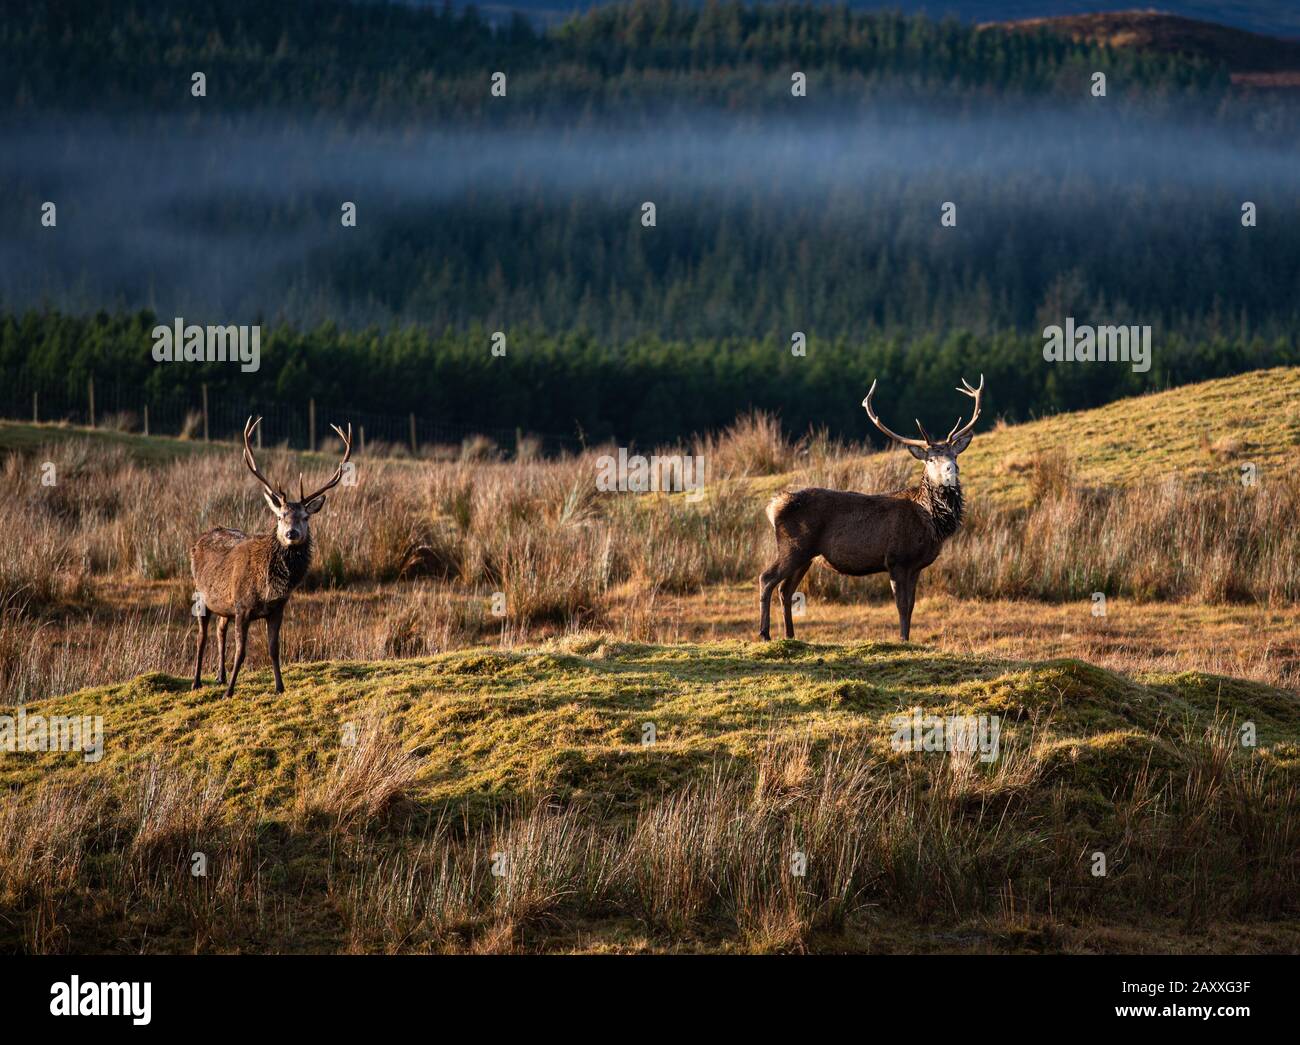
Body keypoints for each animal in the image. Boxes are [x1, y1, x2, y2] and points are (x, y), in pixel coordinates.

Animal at [190, 416, 352, 698]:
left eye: (305, 517)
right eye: (280, 516)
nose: (291, 533)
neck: (267, 586)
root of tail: (198, 540)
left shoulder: (277, 608)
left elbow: (274, 649)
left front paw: (279, 686)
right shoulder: (242, 606)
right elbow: (241, 652)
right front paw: (229, 692)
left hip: (223, 605)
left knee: (220, 630)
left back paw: (220, 676)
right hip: (200, 593)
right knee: (201, 637)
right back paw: (197, 681)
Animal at [758, 376, 984, 643]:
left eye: (954, 456)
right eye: (930, 459)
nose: (951, 469)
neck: (929, 521)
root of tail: (774, 507)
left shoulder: (916, 565)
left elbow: (912, 605)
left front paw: (907, 638)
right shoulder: (896, 559)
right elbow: (901, 605)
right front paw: (902, 639)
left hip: (806, 555)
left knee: (785, 589)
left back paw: (790, 635)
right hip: (793, 546)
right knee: (767, 578)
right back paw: (764, 634)